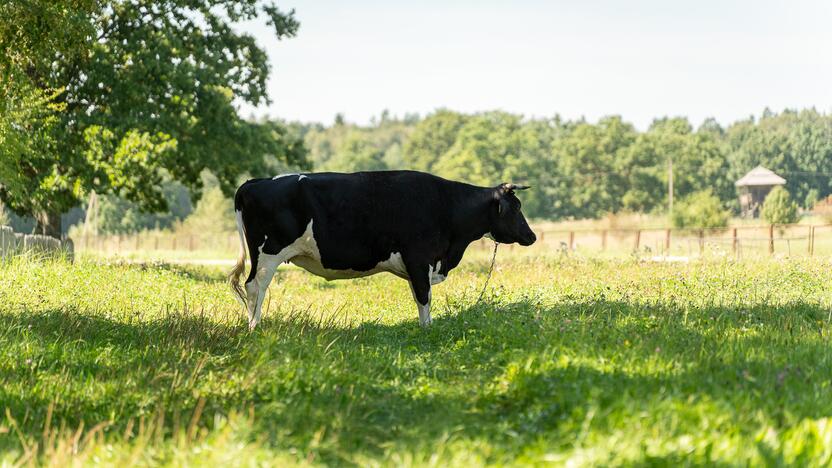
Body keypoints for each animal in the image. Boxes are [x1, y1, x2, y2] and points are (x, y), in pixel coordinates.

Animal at [228, 171, 540, 330]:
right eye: (516, 208)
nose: (532, 236)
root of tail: (254, 182)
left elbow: (421, 296)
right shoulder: (419, 258)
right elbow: (424, 297)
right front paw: (427, 330)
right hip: (268, 253)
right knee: (255, 286)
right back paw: (254, 327)